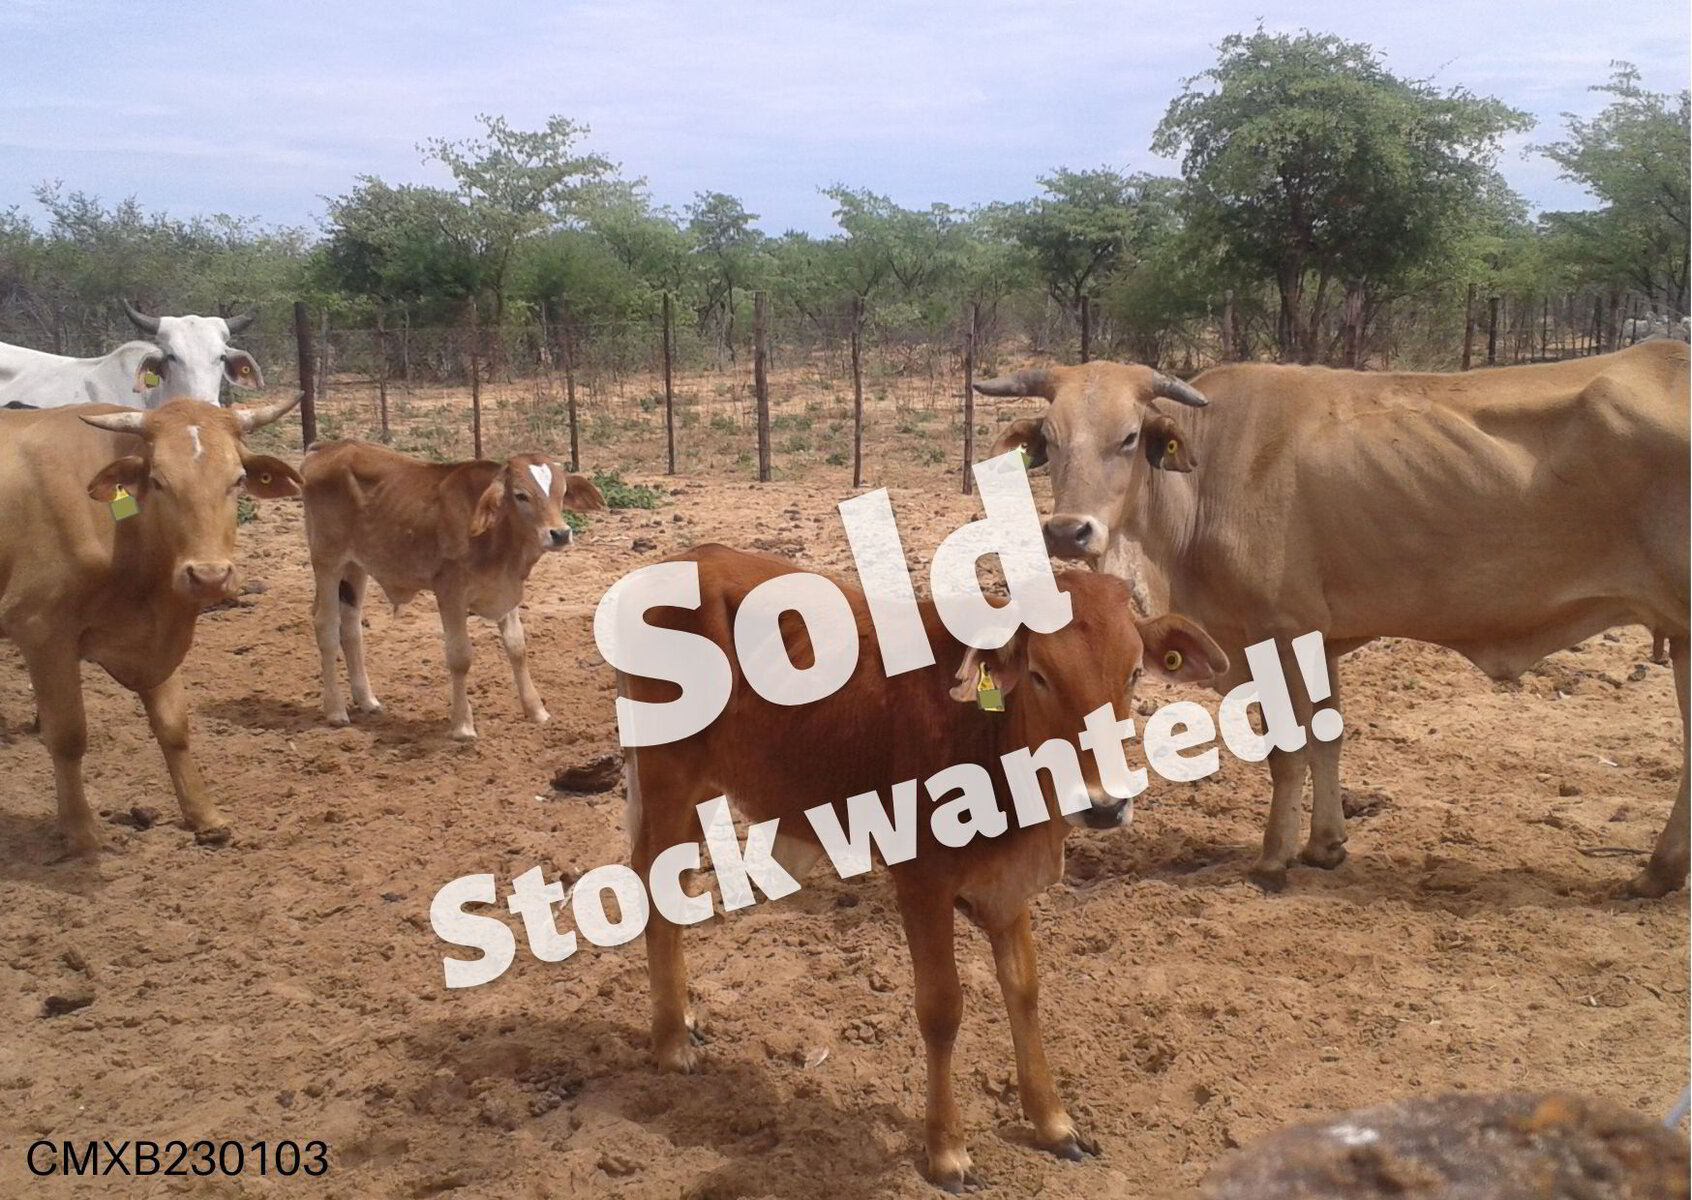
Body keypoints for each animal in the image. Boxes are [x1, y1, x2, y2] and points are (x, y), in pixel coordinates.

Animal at [0, 388, 303, 858]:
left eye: (237, 480)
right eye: (159, 481)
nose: (209, 576)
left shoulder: (158, 637)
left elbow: (173, 725)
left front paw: (204, 816)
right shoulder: (42, 631)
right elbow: (68, 735)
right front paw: (81, 832)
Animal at [301, 441, 606, 741]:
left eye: (562, 493)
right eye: (521, 495)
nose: (560, 534)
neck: (496, 536)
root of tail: (324, 448)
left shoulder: (505, 591)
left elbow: (517, 648)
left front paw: (537, 711)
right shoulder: (450, 593)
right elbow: (460, 657)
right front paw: (462, 726)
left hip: (355, 567)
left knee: (351, 628)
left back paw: (367, 701)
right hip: (327, 561)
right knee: (326, 626)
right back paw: (336, 710)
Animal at [621, 544, 1227, 1190]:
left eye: (1134, 673)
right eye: (1040, 674)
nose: (1105, 806)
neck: (987, 738)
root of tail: (683, 559)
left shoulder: (1007, 887)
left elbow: (1025, 990)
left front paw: (1053, 1123)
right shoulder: (921, 883)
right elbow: (941, 1009)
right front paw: (947, 1152)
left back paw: (682, 1017)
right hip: (667, 776)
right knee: (655, 885)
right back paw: (671, 1046)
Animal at [977, 340, 1690, 898]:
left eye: (1127, 438)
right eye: (1051, 441)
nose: (1068, 531)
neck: (1204, 480)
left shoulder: (1276, 634)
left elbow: (1287, 750)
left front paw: (1273, 859)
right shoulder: (1317, 641)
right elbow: (1327, 736)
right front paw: (1325, 845)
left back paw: (1656, 873)